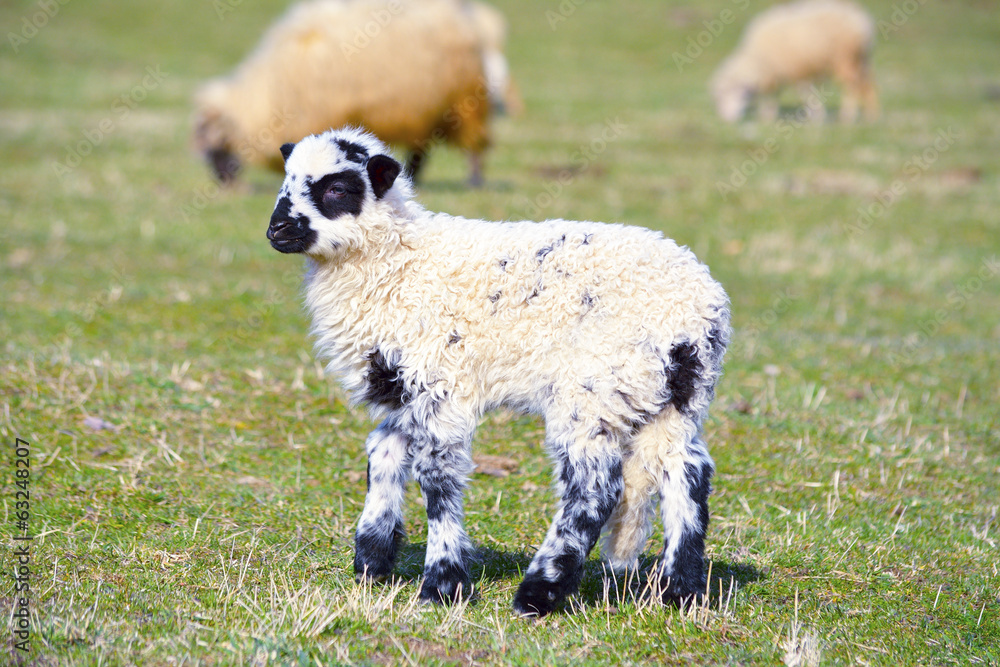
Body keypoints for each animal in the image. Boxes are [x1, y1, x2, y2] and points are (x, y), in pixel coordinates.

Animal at [193, 0, 513, 186]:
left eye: (213, 139)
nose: (222, 182)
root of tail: (468, 17)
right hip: (428, 109)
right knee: (421, 149)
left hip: (464, 102)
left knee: (472, 145)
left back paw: (474, 179)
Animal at [266, 127, 730, 616]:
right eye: (285, 180)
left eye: (337, 188)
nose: (277, 230)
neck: (399, 263)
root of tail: (700, 308)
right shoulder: (405, 389)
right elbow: (383, 452)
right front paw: (373, 559)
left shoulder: (441, 384)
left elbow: (437, 478)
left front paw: (442, 585)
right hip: (671, 397)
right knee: (687, 472)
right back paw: (680, 590)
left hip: (594, 389)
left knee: (595, 487)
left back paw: (539, 593)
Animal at [710, 0, 878, 123]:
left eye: (727, 94)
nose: (727, 120)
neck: (757, 56)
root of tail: (862, 21)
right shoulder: (775, 74)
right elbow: (771, 96)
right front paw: (767, 117)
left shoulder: (797, 70)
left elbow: (805, 94)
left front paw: (816, 116)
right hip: (860, 58)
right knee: (868, 84)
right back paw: (872, 116)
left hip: (844, 59)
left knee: (852, 87)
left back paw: (847, 117)